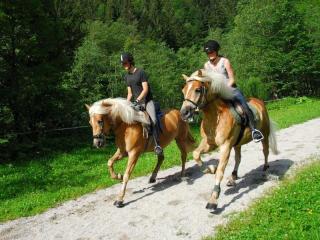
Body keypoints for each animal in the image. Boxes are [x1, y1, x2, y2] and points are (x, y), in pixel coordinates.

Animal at [180, 69, 278, 210]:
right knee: (238, 158)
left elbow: (220, 171)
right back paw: (233, 177)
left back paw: (265, 171)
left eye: (197, 89)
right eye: (183, 90)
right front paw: (210, 169)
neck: (215, 116)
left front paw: (213, 199)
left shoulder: (225, 146)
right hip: (237, 143)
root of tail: (259, 102)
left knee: (265, 152)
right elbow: (196, 154)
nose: (184, 113)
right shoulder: (209, 144)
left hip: (264, 134)